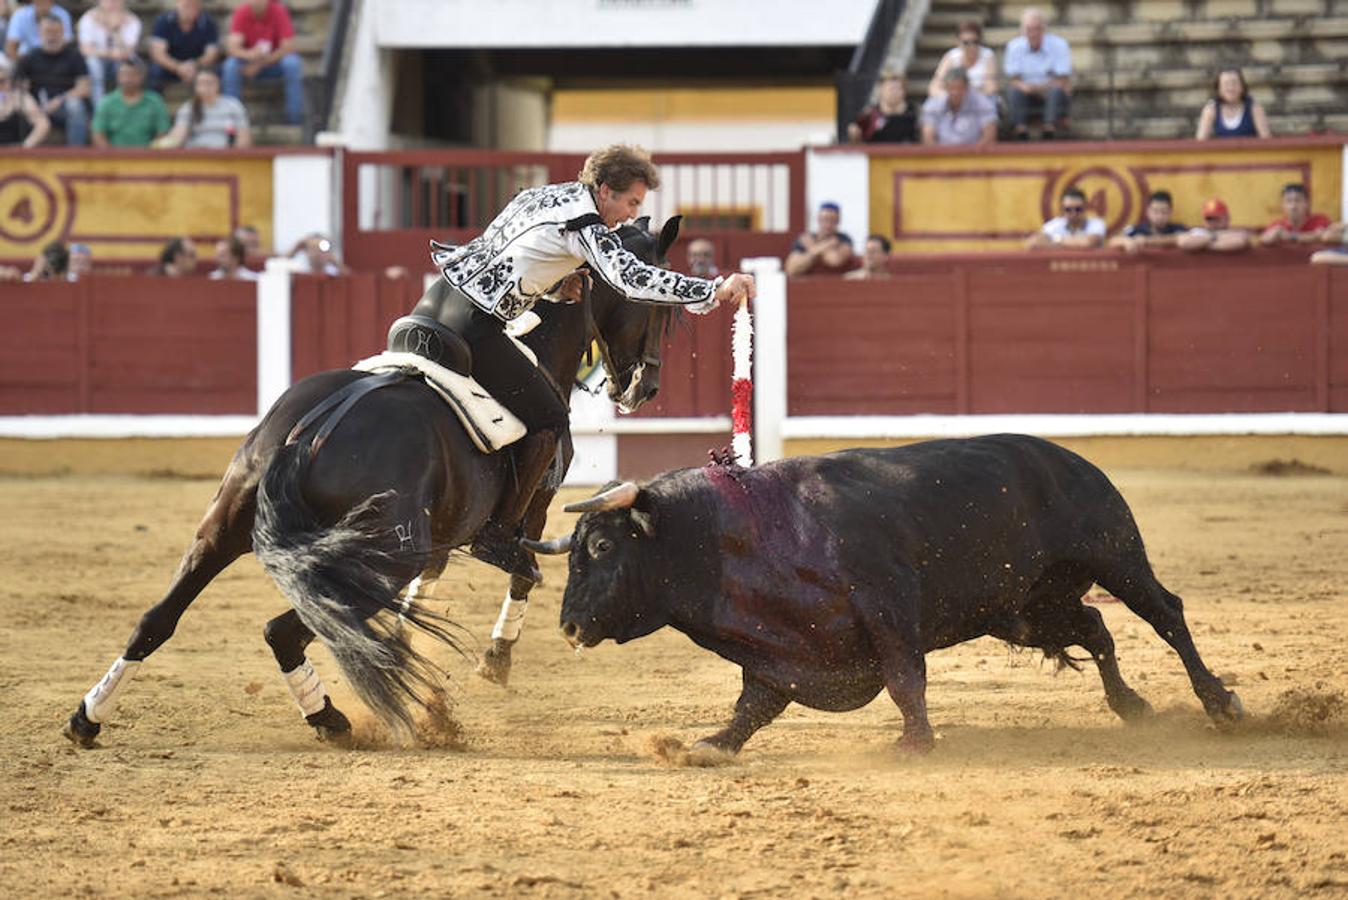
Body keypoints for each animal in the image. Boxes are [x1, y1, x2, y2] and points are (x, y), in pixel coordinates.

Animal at [65, 218, 684, 743]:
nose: (646, 387)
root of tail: (306, 437)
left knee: (157, 619)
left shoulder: (444, 533)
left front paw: (409, 639)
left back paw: (87, 718)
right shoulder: (533, 503)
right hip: (382, 557)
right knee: (285, 630)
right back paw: (330, 718)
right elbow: (526, 571)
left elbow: (435, 583)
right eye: (659, 309)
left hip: (222, 529)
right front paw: (495, 661)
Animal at [531, 436, 1245, 754]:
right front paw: (711, 745)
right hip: (1025, 610)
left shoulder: (887, 607)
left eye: (603, 547)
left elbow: (905, 678)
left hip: (1116, 555)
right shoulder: (781, 643)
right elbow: (755, 701)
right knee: (1095, 627)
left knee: (1167, 615)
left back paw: (1220, 703)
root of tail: (1069, 458)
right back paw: (1131, 706)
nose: (567, 627)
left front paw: (914, 743)